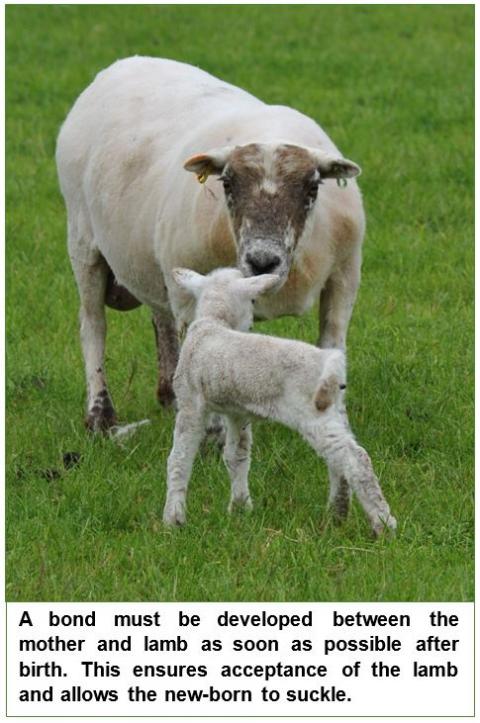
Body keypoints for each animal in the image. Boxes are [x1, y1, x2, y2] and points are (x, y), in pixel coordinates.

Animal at [55, 56, 365, 432]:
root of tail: (120, 64)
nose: (263, 261)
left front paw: (340, 423)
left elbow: (334, 345)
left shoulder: (345, 276)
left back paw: (168, 395)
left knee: (160, 317)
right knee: (93, 324)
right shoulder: (191, 291)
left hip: (152, 261)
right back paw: (100, 416)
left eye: (313, 187)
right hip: (83, 239)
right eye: (227, 184)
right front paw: (213, 433)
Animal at [163, 267, 396, 536]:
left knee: (355, 459)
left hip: (311, 412)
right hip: (332, 407)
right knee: (339, 458)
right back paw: (338, 513)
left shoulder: (189, 403)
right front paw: (240, 508)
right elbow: (236, 456)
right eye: (252, 301)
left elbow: (179, 459)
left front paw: (173, 518)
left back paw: (383, 524)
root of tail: (331, 362)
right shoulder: (237, 413)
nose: (250, 325)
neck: (214, 322)